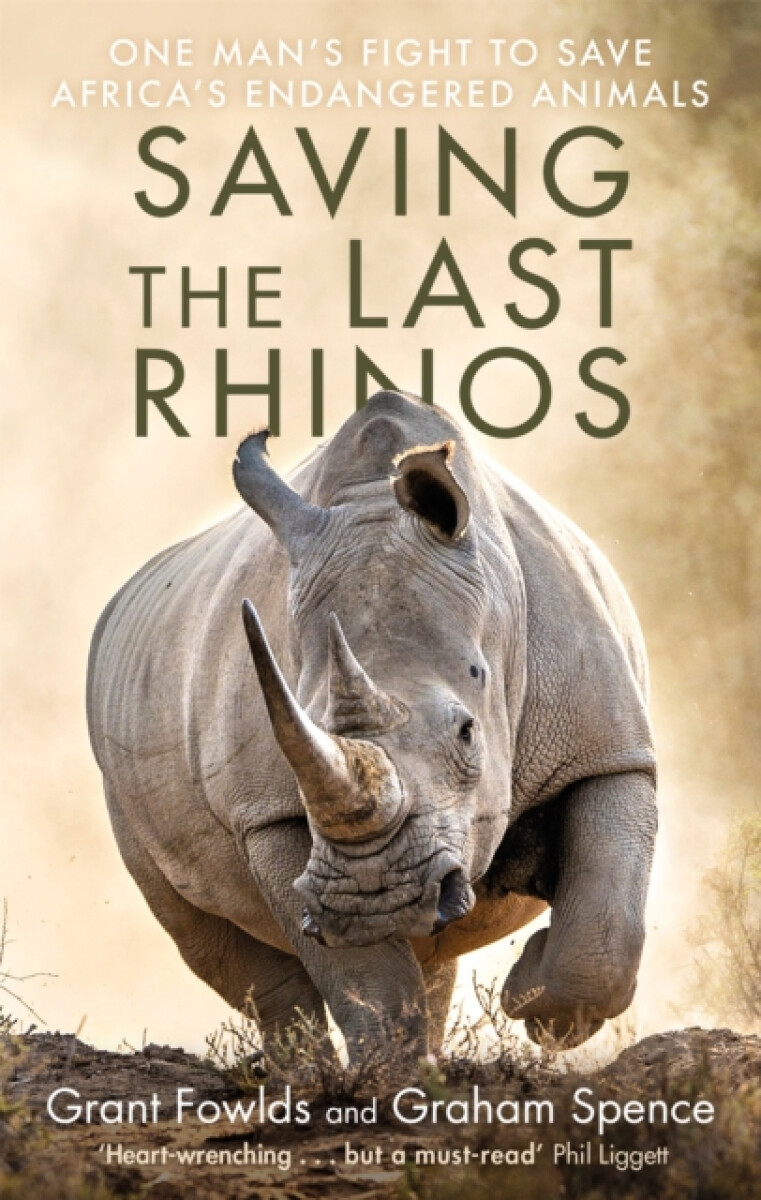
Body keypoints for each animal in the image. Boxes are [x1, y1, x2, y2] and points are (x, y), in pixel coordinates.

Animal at [87, 390, 657, 1052]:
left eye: (468, 733)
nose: (374, 901)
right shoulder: (268, 812)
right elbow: (367, 979)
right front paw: (390, 1072)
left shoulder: (607, 747)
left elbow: (604, 926)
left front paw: (534, 1002)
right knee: (209, 939)